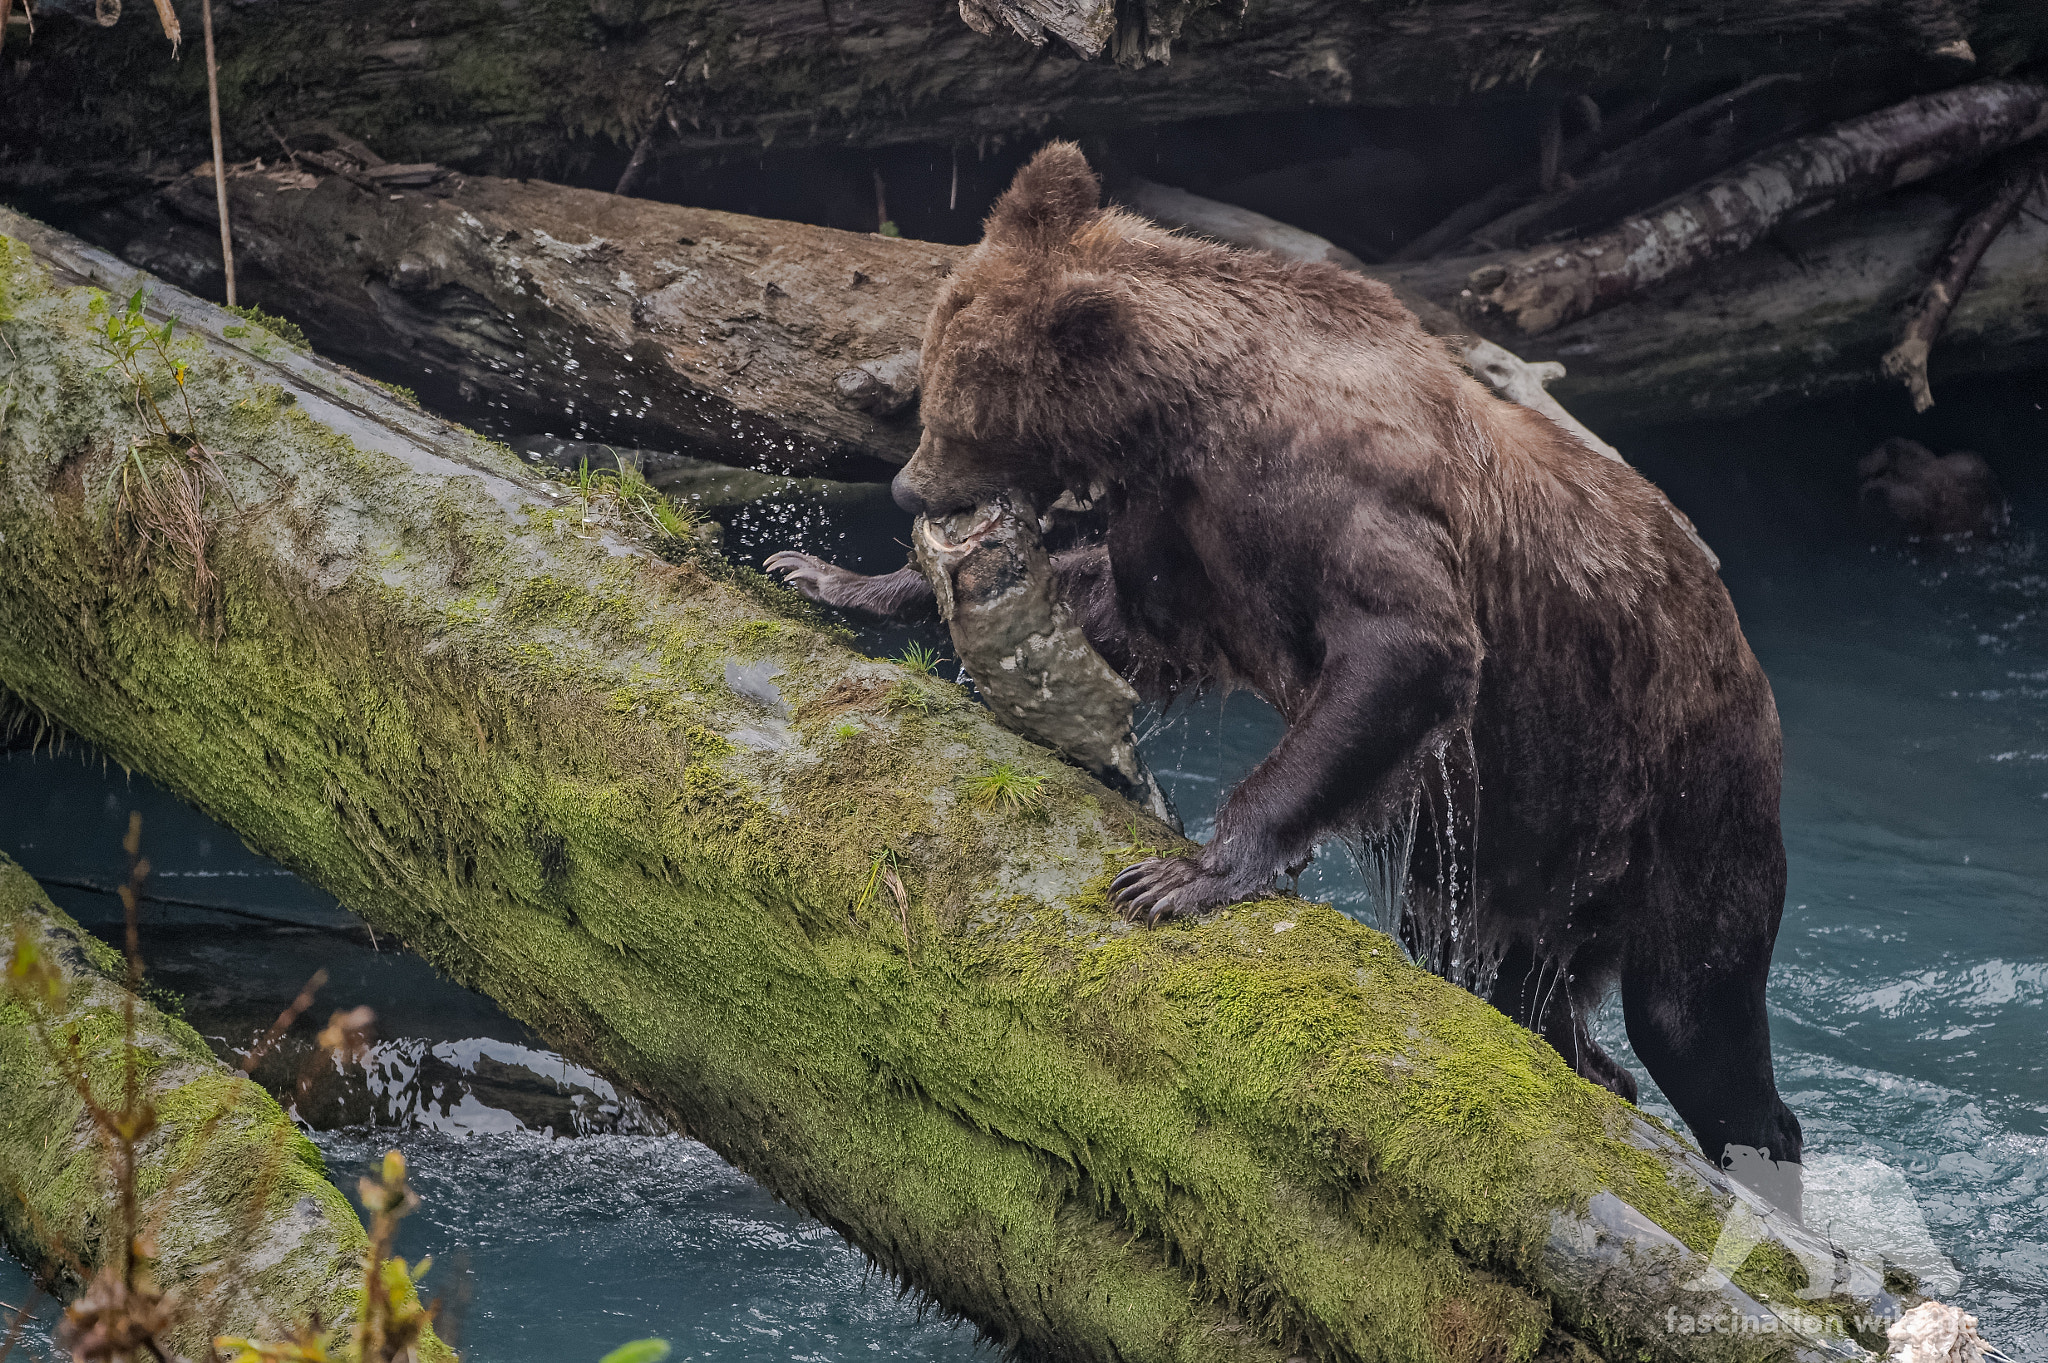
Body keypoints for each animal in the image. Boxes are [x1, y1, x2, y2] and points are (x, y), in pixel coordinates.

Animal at [768, 142, 1802, 1198]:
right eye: (933, 369)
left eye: (957, 399)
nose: (908, 486)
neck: (1187, 416)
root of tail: (1749, 670)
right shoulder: (1192, 532)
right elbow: (1132, 616)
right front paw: (834, 575)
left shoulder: (1331, 499)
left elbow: (1406, 647)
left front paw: (1184, 874)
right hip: (1516, 851)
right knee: (1509, 975)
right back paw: (1594, 1069)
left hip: (1681, 798)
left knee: (1696, 1013)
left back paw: (1758, 1152)